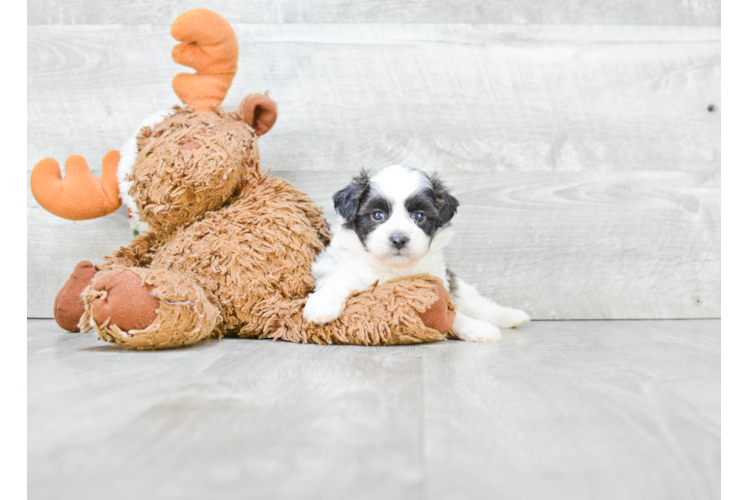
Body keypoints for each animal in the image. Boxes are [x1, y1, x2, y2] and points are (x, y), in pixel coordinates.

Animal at [300, 166, 528, 342]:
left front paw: (475, 327)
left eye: (419, 216)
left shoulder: (439, 280)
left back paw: (511, 316)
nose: (399, 239)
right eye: (378, 215)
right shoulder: (345, 269)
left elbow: (453, 313)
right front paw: (322, 304)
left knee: (478, 304)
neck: (393, 268)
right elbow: (338, 282)